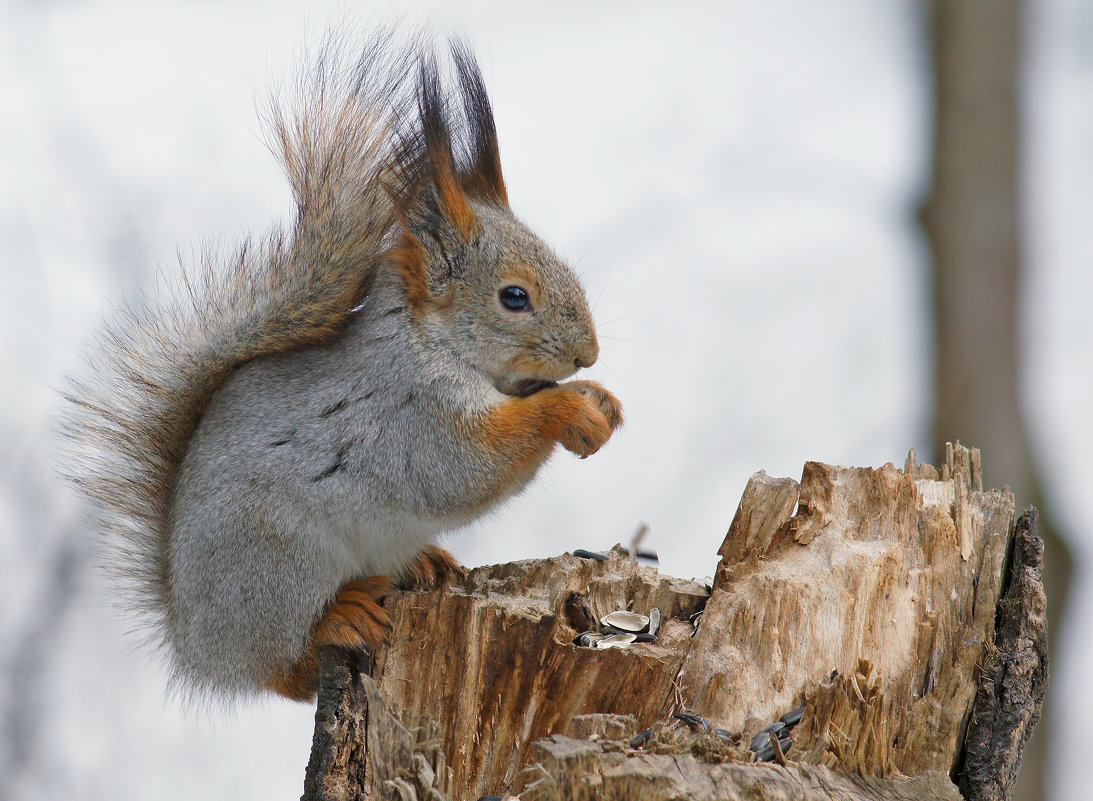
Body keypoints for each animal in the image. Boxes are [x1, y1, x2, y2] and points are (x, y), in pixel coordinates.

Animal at [62, 37, 625, 699]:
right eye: (514, 297)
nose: (587, 353)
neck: (429, 342)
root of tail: (196, 641)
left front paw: (601, 400)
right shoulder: (407, 414)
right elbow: (465, 469)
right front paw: (566, 408)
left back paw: (423, 562)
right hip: (278, 563)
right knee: (287, 667)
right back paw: (341, 616)